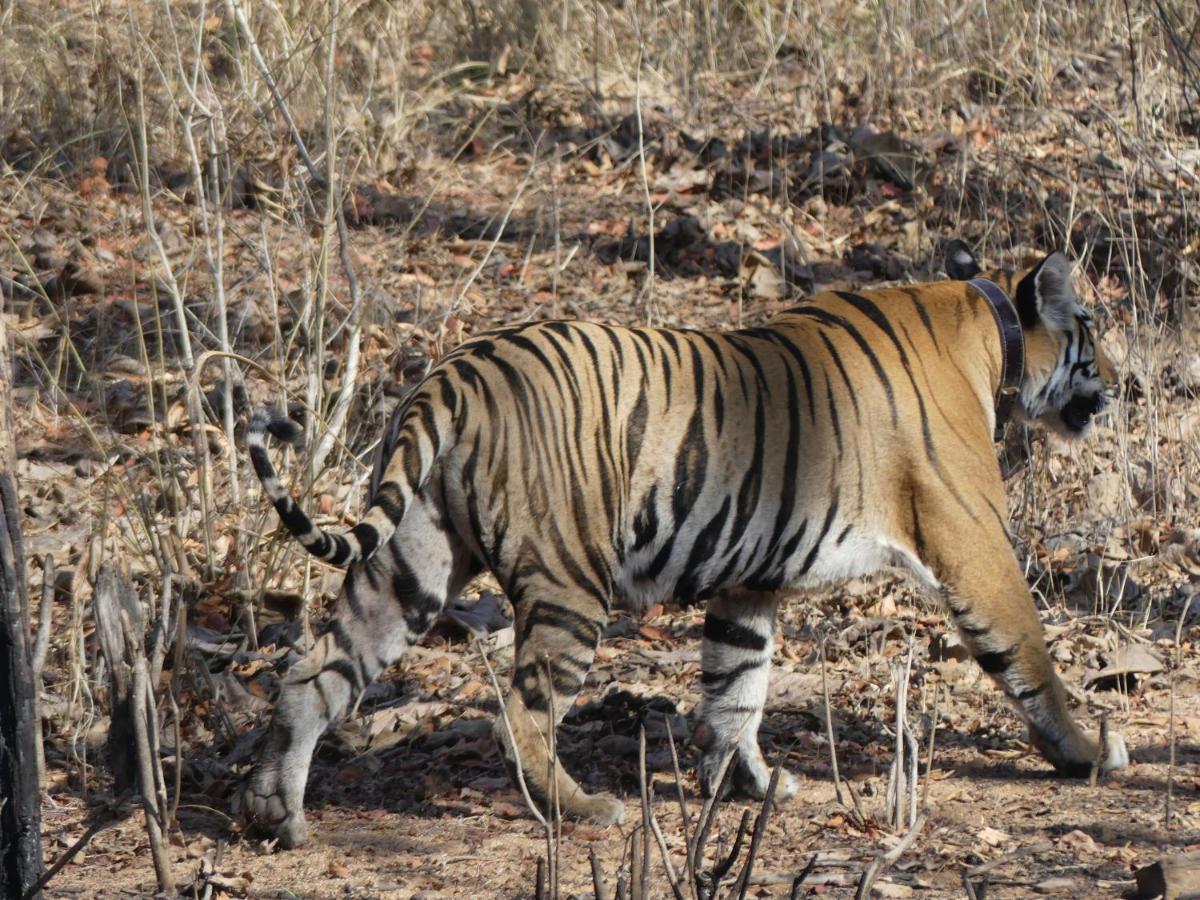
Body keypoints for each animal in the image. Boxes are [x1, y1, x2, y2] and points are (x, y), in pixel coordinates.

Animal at [241, 243, 1123, 849]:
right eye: (1090, 329)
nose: (1121, 384)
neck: (990, 335)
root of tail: (452, 373)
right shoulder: (974, 544)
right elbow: (1029, 652)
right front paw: (1087, 751)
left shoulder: (749, 581)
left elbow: (737, 687)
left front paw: (751, 785)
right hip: (570, 584)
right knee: (519, 715)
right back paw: (584, 807)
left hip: (412, 564)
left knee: (312, 673)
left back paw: (273, 813)